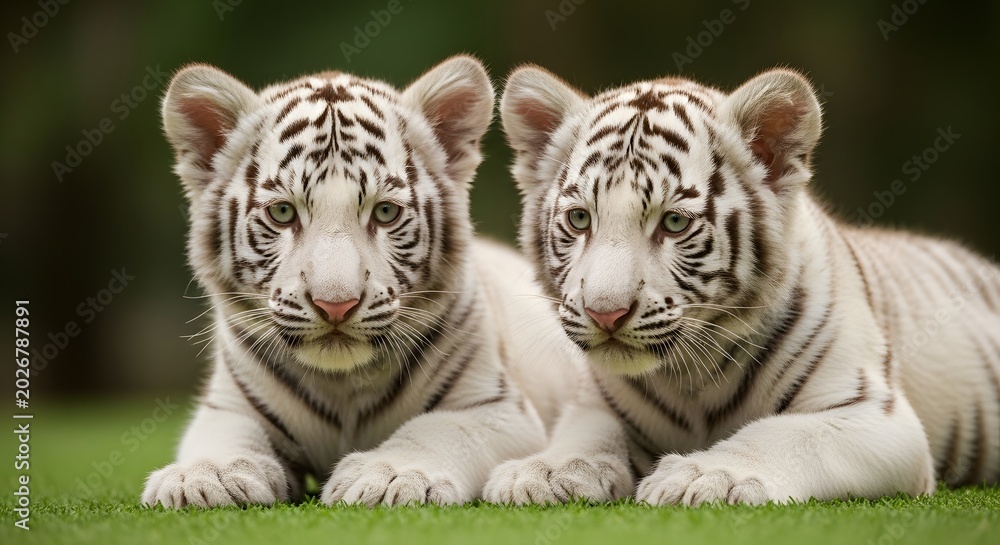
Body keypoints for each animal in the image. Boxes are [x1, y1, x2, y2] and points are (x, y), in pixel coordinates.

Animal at [141, 55, 628, 508]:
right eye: (282, 212)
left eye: (386, 212)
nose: (335, 305)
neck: (342, 389)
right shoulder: (228, 406)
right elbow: (223, 437)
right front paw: (204, 476)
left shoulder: (497, 408)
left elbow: (435, 430)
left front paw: (390, 475)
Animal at [487, 65, 1000, 505]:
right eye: (579, 219)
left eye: (674, 223)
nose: (605, 313)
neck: (692, 381)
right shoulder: (593, 402)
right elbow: (586, 436)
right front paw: (544, 471)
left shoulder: (875, 414)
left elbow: (783, 433)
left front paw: (705, 475)